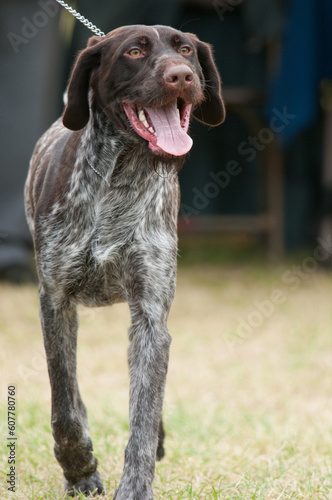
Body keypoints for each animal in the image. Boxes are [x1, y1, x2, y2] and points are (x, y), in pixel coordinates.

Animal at [24, 24, 224, 500]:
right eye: (134, 52)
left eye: (185, 49)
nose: (182, 75)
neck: (122, 175)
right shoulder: (55, 302)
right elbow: (64, 404)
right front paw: (80, 469)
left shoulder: (151, 315)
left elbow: (144, 416)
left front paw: (134, 486)